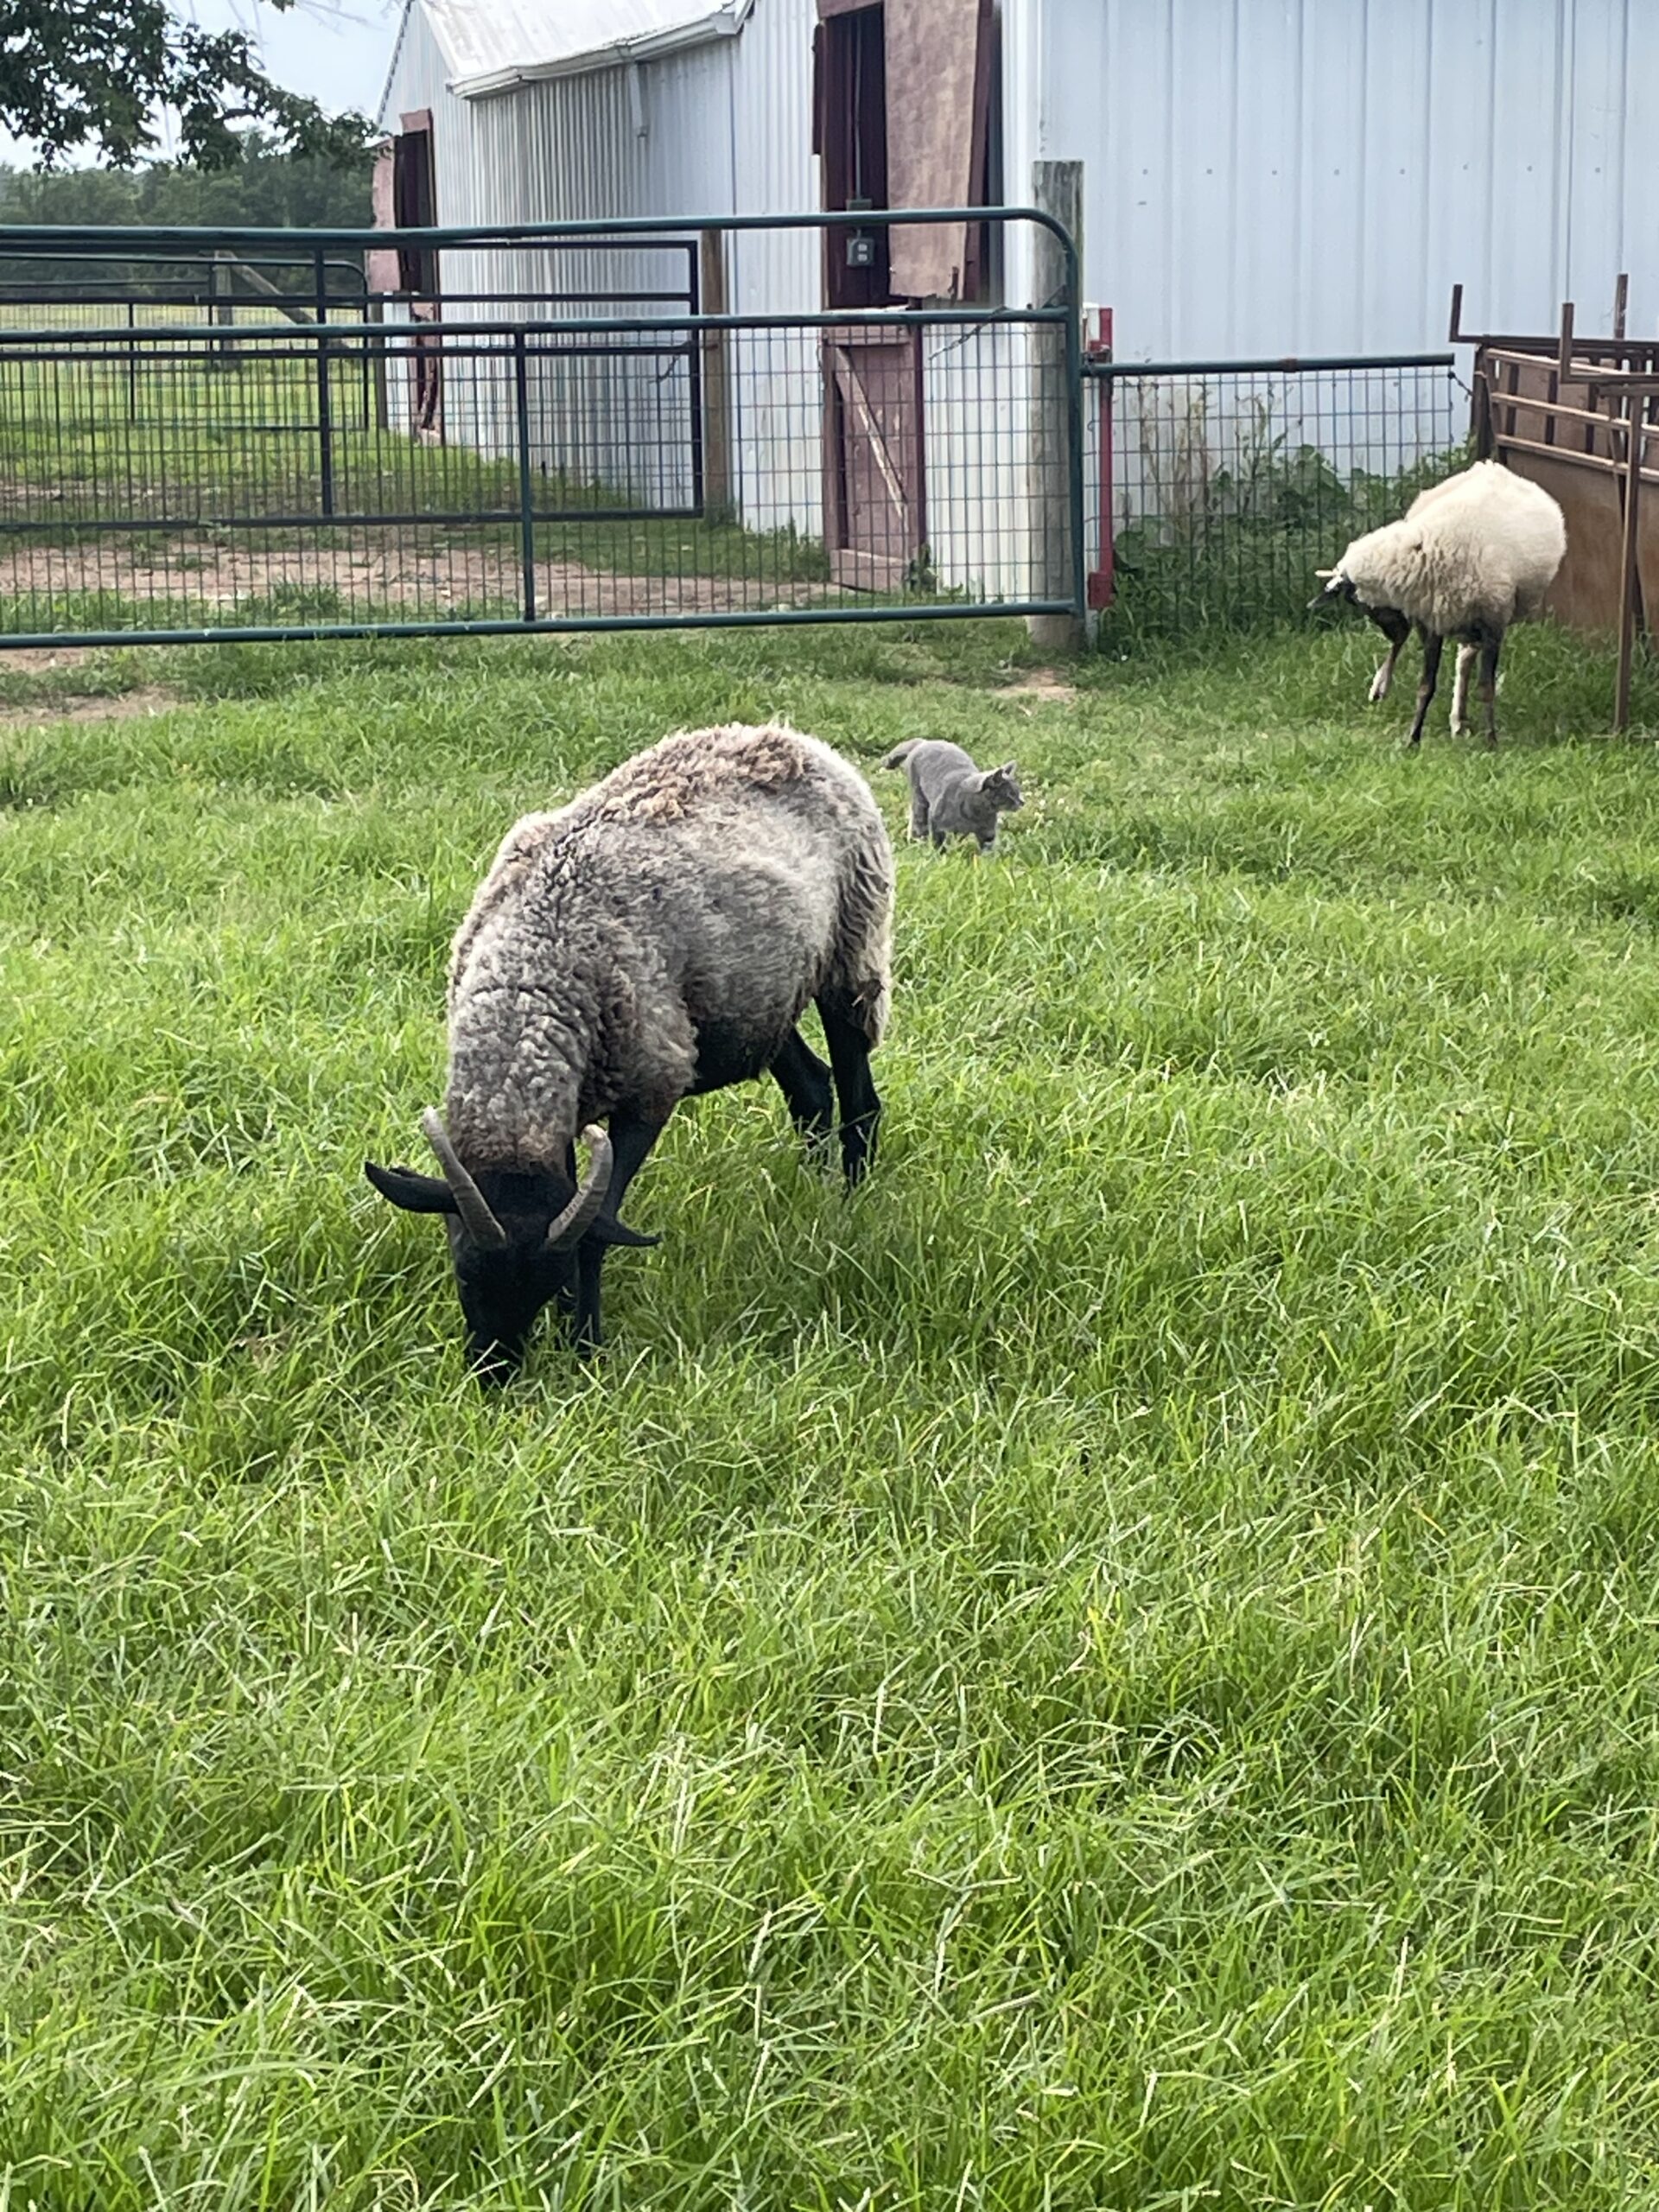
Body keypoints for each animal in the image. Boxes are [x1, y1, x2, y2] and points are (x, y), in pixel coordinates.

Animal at [364, 721, 893, 1384]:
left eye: (543, 1284)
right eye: (463, 1271)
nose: (495, 1379)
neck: (531, 974)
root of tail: (792, 736)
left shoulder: (650, 1088)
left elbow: (596, 1229)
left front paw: (586, 1347)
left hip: (853, 948)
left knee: (859, 1096)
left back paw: (848, 1204)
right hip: (757, 998)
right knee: (812, 1087)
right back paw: (810, 1192)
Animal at [1311, 460, 1566, 747]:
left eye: (1355, 599)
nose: (1392, 631)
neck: (1427, 548)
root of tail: (1492, 466)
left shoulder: (1493, 622)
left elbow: (1486, 689)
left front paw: (1491, 741)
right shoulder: (1430, 622)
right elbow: (1426, 687)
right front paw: (1413, 739)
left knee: (1465, 658)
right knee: (1451, 655)